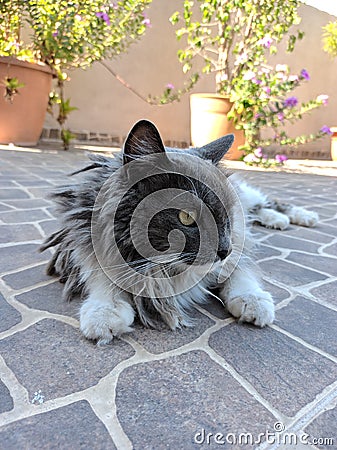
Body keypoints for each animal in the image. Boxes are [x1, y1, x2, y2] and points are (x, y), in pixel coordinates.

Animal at [40, 119, 318, 344]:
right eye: (186, 217)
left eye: (226, 214)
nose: (224, 250)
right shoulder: (82, 239)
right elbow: (100, 276)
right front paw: (104, 312)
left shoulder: (239, 241)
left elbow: (240, 273)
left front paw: (253, 301)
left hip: (248, 201)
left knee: (267, 203)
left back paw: (298, 217)